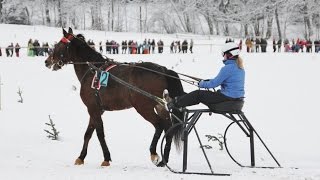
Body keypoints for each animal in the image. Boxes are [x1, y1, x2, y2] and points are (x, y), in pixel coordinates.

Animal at [45, 27, 185, 167]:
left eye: (58, 45)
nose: (47, 61)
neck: (93, 70)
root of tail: (163, 70)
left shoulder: (92, 108)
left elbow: (99, 134)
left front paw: (106, 158)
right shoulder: (97, 109)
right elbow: (88, 134)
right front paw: (81, 157)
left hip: (143, 107)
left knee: (159, 125)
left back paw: (154, 153)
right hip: (160, 106)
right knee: (168, 128)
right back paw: (164, 160)